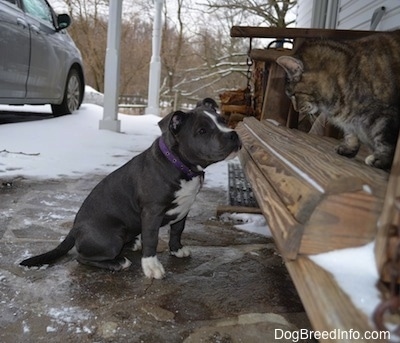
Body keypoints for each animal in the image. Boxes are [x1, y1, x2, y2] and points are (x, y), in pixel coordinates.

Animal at [19, 99, 241, 280]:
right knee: (81, 257)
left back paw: (132, 243)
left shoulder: (184, 207)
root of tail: (74, 229)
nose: (233, 135)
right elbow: (151, 239)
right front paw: (152, 267)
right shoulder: (152, 212)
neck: (180, 165)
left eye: (223, 120)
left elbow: (177, 230)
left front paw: (176, 250)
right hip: (112, 237)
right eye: (202, 131)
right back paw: (118, 262)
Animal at [276, 29, 400, 171]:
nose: (296, 109)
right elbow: (350, 134)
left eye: (293, 94)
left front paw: (381, 159)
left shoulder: (386, 115)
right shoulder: (350, 122)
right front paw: (349, 149)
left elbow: (384, 140)